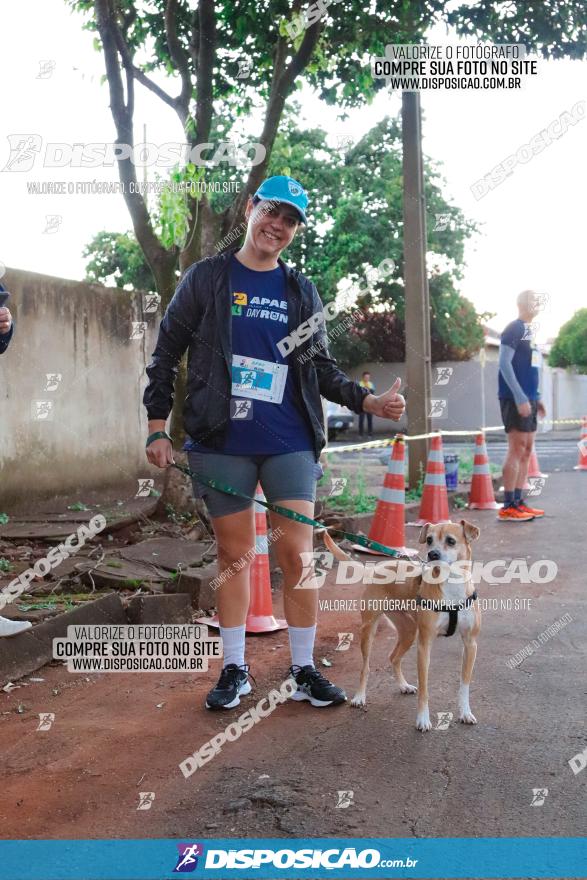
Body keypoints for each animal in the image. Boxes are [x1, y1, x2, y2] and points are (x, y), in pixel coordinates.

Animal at [322, 520, 482, 732]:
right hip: (369, 630)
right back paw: (359, 697)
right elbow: (424, 689)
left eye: (451, 541)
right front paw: (422, 719)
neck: (451, 586)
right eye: (429, 540)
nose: (432, 555)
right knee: (366, 668)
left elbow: (464, 684)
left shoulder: (471, 644)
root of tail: (375, 570)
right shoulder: (424, 645)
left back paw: (403, 686)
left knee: (393, 657)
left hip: (408, 632)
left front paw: (465, 713)